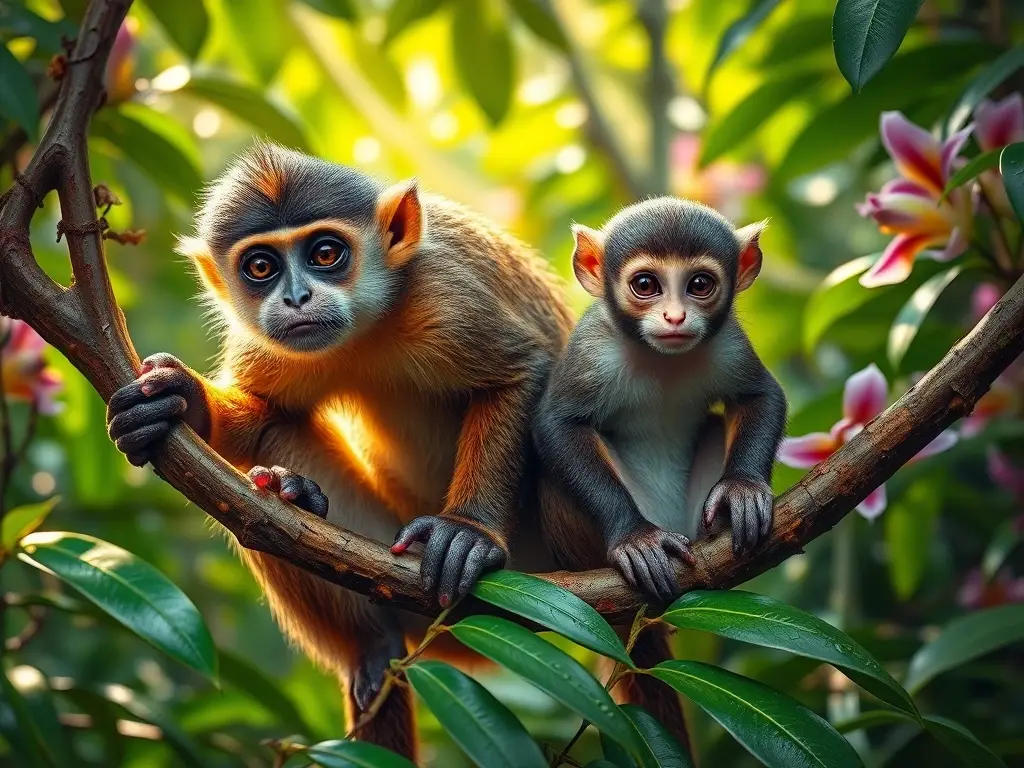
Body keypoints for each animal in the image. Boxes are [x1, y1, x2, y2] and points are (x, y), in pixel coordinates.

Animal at [104, 141, 575, 761]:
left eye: (326, 253)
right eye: (261, 267)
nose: (297, 296)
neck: (369, 329)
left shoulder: (447, 294)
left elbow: (520, 373)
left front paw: (467, 534)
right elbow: (267, 413)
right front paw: (178, 401)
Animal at [532, 198, 787, 749]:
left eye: (699, 284)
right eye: (646, 284)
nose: (675, 315)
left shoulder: (728, 342)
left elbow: (760, 395)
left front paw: (742, 491)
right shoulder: (592, 349)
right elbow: (557, 425)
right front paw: (634, 538)